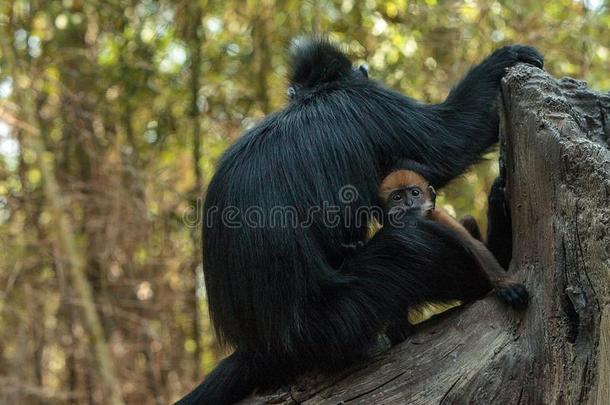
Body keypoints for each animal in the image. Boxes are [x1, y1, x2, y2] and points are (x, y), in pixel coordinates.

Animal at [380, 161, 528, 310]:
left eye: (415, 193)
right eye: (397, 197)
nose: (408, 203)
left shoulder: (440, 217)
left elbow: (474, 245)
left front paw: (505, 285)